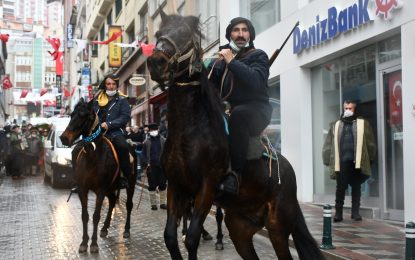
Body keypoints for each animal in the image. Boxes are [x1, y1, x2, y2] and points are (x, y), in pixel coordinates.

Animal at [59, 98, 136, 253]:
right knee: (112, 201)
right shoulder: (83, 189)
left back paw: (126, 230)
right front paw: (84, 243)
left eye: (84, 116)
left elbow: (95, 216)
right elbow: (85, 216)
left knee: (129, 205)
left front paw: (93, 244)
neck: (93, 154)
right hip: (110, 188)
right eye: (72, 115)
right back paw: (105, 228)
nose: (64, 138)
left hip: (130, 183)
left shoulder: (100, 190)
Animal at [148, 12, 324, 260]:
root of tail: (287, 169)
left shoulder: (206, 187)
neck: (190, 131)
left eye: (185, 34)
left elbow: (192, 238)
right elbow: (170, 237)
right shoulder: (176, 186)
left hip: (278, 225)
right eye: (158, 33)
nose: (156, 62)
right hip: (240, 227)